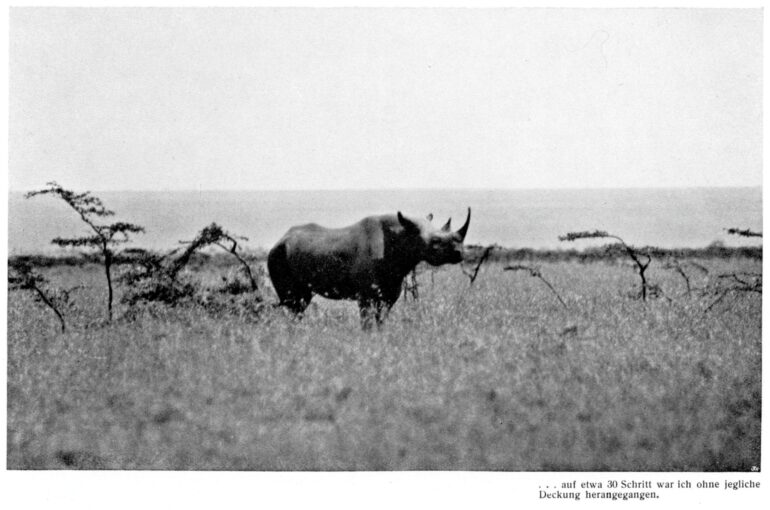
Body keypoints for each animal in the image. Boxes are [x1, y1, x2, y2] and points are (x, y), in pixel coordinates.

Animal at [267, 208, 471, 327]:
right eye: (436, 243)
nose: (459, 253)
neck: (402, 235)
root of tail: (280, 240)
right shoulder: (365, 295)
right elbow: (366, 322)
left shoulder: (390, 291)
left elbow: (381, 321)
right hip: (277, 255)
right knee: (292, 303)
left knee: (300, 303)